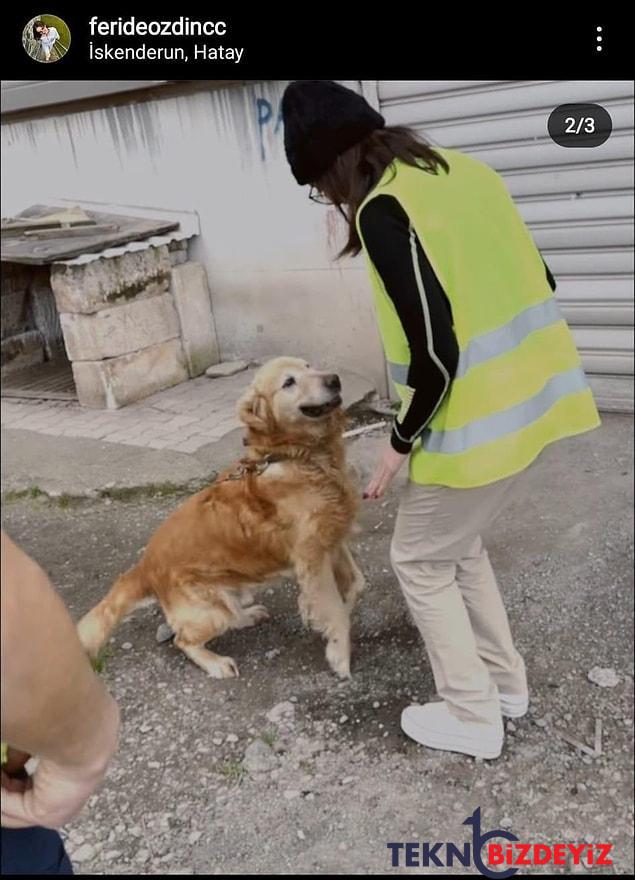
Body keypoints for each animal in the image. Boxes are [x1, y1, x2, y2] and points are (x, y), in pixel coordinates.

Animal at [78, 358, 368, 680]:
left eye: (309, 366)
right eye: (289, 382)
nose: (334, 380)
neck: (296, 456)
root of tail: (145, 566)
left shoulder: (333, 536)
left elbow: (356, 584)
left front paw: (313, 610)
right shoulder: (312, 557)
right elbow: (335, 609)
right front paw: (339, 653)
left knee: (231, 616)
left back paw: (249, 615)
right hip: (210, 611)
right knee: (184, 639)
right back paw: (216, 663)